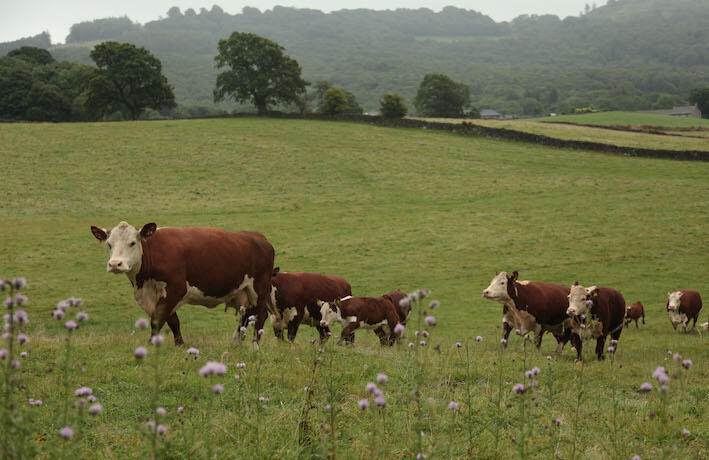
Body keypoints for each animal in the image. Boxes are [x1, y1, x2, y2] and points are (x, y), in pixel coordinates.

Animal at [90, 222, 274, 346]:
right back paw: (236, 342)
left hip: (259, 289)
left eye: (132, 243)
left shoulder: (176, 289)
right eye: (109, 244)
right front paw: (179, 344)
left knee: (260, 315)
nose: (115, 264)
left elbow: (158, 319)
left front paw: (150, 345)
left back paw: (254, 346)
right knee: (247, 315)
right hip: (242, 291)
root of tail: (259, 237)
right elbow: (173, 321)